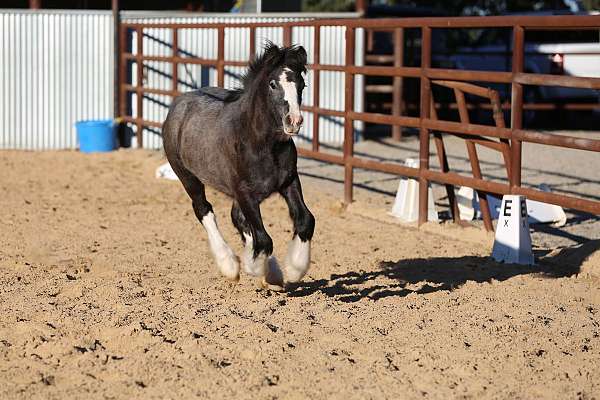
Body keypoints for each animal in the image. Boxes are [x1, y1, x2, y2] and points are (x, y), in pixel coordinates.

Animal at [162, 43, 316, 288]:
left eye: (302, 84)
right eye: (273, 84)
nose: (293, 121)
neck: (261, 143)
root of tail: (180, 102)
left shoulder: (289, 181)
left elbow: (305, 220)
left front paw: (293, 270)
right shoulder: (244, 191)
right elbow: (263, 239)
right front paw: (254, 267)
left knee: (238, 218)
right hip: (187, 176)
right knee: (203, 209)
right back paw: (230, 265)